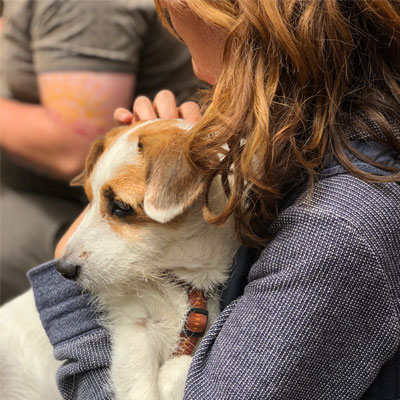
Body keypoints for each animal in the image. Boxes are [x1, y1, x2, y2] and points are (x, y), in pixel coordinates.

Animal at [0, 120, 241, 400]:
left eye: (122, 206)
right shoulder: (133, 331)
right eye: (89, 199)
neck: (178, 280)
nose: (63, 269)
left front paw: (172, 376)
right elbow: (143, 390)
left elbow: (179, 369)